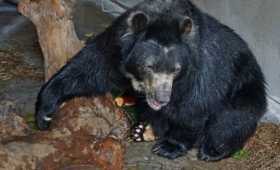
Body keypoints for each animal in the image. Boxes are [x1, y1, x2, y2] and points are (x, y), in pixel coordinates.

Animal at [35, 0, 266, 161]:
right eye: (149, 67)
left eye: (176, 70)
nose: (162, 98)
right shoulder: (117, 42)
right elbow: (91, 67)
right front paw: (45, 112)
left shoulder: (202, 64)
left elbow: (195, 105)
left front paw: (170, 146)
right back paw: (142, 129)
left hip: (245, 86)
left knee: (233, 118)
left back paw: (213, 149)